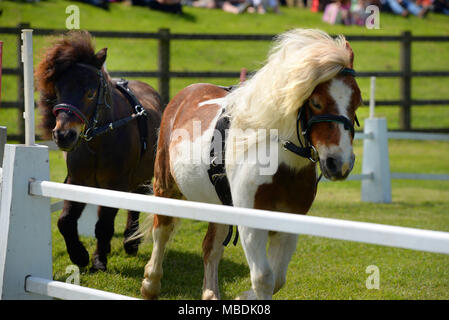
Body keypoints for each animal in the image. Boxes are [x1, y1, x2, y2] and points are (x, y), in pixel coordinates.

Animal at [36, 31, 163, 272]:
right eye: (59, 90)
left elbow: (104, 225)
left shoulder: (116, 184)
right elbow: (65, 221)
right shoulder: (76, 181)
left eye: (90, 92)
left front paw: (98, 260)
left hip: (141, 176)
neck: (99, 142)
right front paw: (79, 256)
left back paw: (130, 241)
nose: (63, 135)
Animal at [142, 28, 362, 298]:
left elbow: (277, 279)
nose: (339, 164)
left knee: (210, 248)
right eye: (316, 102)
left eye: (357, 101)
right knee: (161, 232)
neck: (281, 164)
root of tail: (184, 95)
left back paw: (210, 293)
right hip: (166, 186)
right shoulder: (251, 222)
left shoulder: (290, 220)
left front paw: (242, 296)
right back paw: (150, 284)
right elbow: (264, 278)